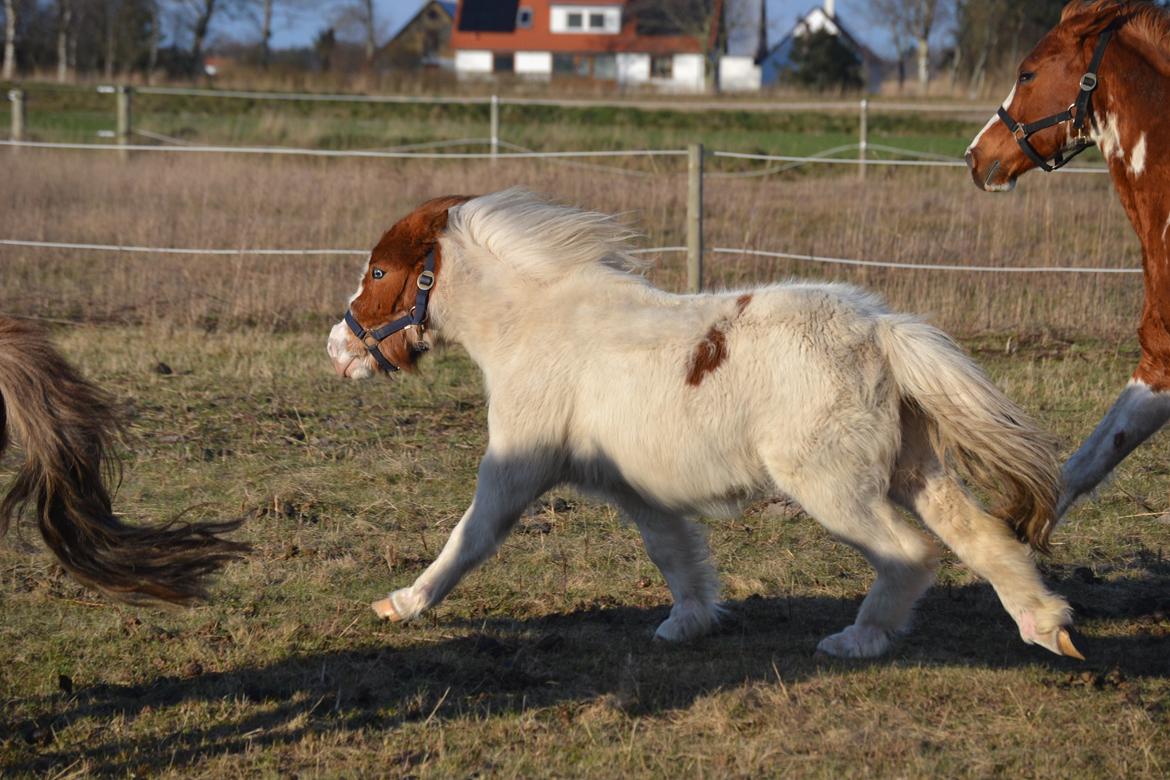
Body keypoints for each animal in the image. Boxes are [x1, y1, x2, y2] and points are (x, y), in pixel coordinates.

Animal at [325, 189, 1081, 659]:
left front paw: (403, 603)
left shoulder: (516, 465)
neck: (534, 325)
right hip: (913, 469)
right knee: (980, 536)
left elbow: (470, 537)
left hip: (833, 485)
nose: (336, 349)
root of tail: (879, 330)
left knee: (913, 553)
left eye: (380, 271)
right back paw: (1048, 627)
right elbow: (675, 554)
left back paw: (857, 641)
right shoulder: (635, 489)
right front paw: (686, 625)